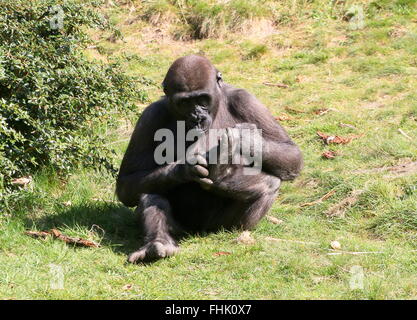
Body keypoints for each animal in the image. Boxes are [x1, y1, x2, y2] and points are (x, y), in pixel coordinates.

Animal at [117, 55, 302, 262]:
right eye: (185, 102)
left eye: (202, 99)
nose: (197, 115)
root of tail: (198, 232)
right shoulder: (150, 116)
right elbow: (127, 182)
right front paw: (185, 168)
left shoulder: (245, 100)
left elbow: (291, 153)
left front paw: (243, 138)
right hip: (182, 229)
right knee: (149, 189)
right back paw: (158, 243)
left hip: (220, 228)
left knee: (270, 184)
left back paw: (224, 180)